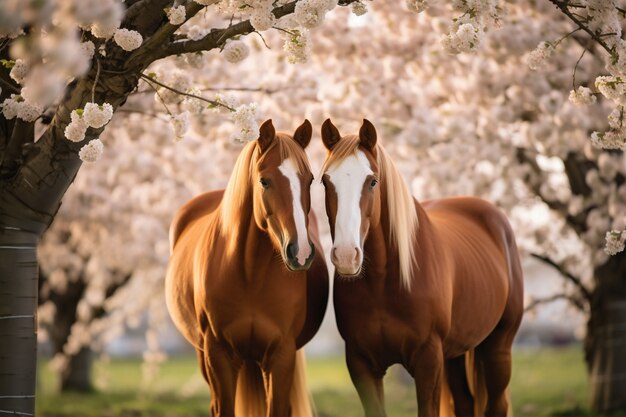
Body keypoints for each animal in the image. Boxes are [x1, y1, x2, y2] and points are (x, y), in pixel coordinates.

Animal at [166, 119, 330, 416]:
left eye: (310, 179)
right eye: (264, 180)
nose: (301, 253)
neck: (250, 274)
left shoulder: (281, 355)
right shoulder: (218, 355)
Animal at [320, 118, 520, 416]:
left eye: (372, 181)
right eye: (324, 181)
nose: (346, 256)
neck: (384, 281)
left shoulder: (428, 361)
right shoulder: (361, 365)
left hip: (498, 347)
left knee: (496, 404)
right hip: (455, 354)